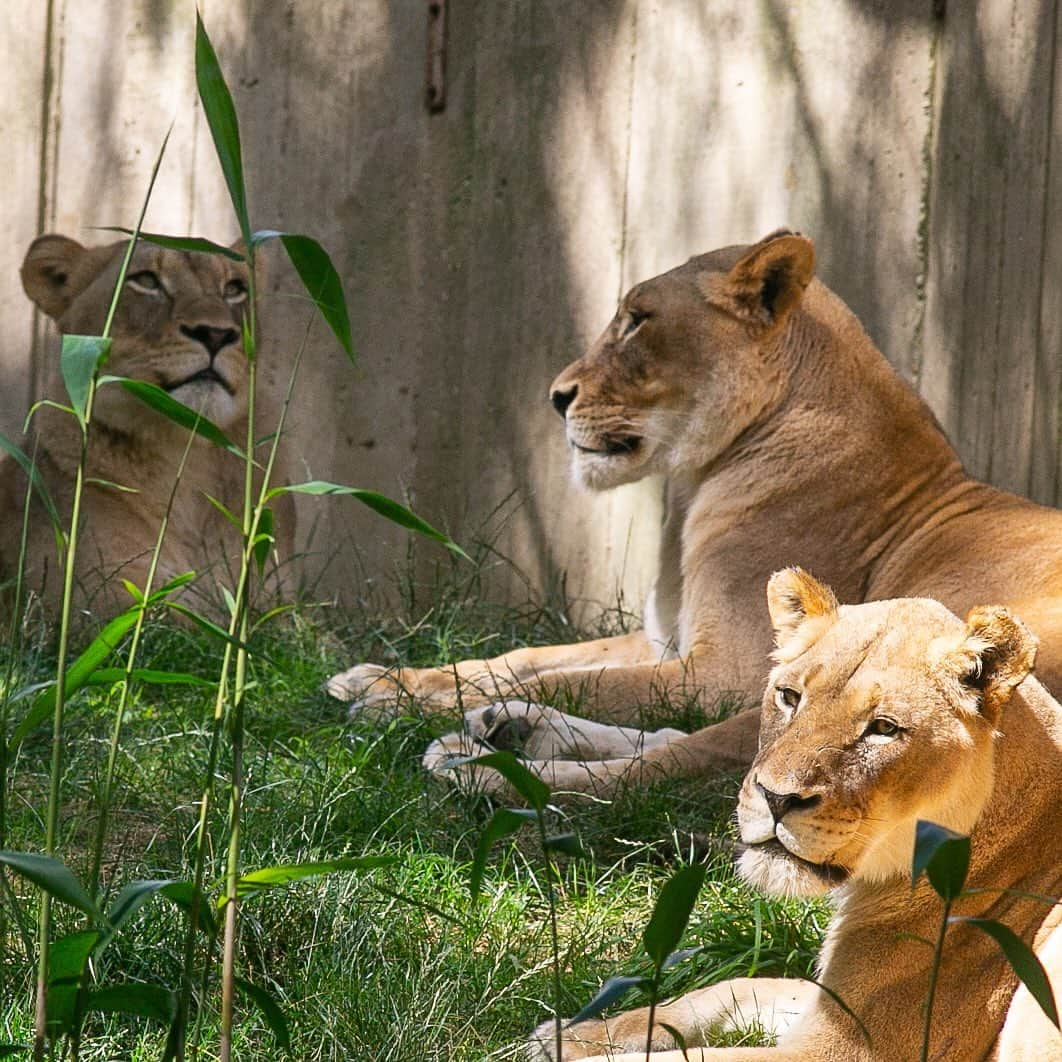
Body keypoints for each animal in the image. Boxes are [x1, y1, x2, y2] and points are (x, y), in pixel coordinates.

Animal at [331, 230, 1062, 798]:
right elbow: (531, 656)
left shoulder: (726, 672)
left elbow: (581, 679)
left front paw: (396, 701)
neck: (693, 482)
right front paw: (384, 677)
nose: (556, 397)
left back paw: (479, 771)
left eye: (637, 318)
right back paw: (507, 727)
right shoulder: (666, 642)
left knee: (664, 772)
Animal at [524, 573, 1062, 1062]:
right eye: (789, 697)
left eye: (883, 728)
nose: (776, 798)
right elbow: (736, 987)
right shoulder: (825, 1006)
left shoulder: (851, 1049)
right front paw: (569, 1034)